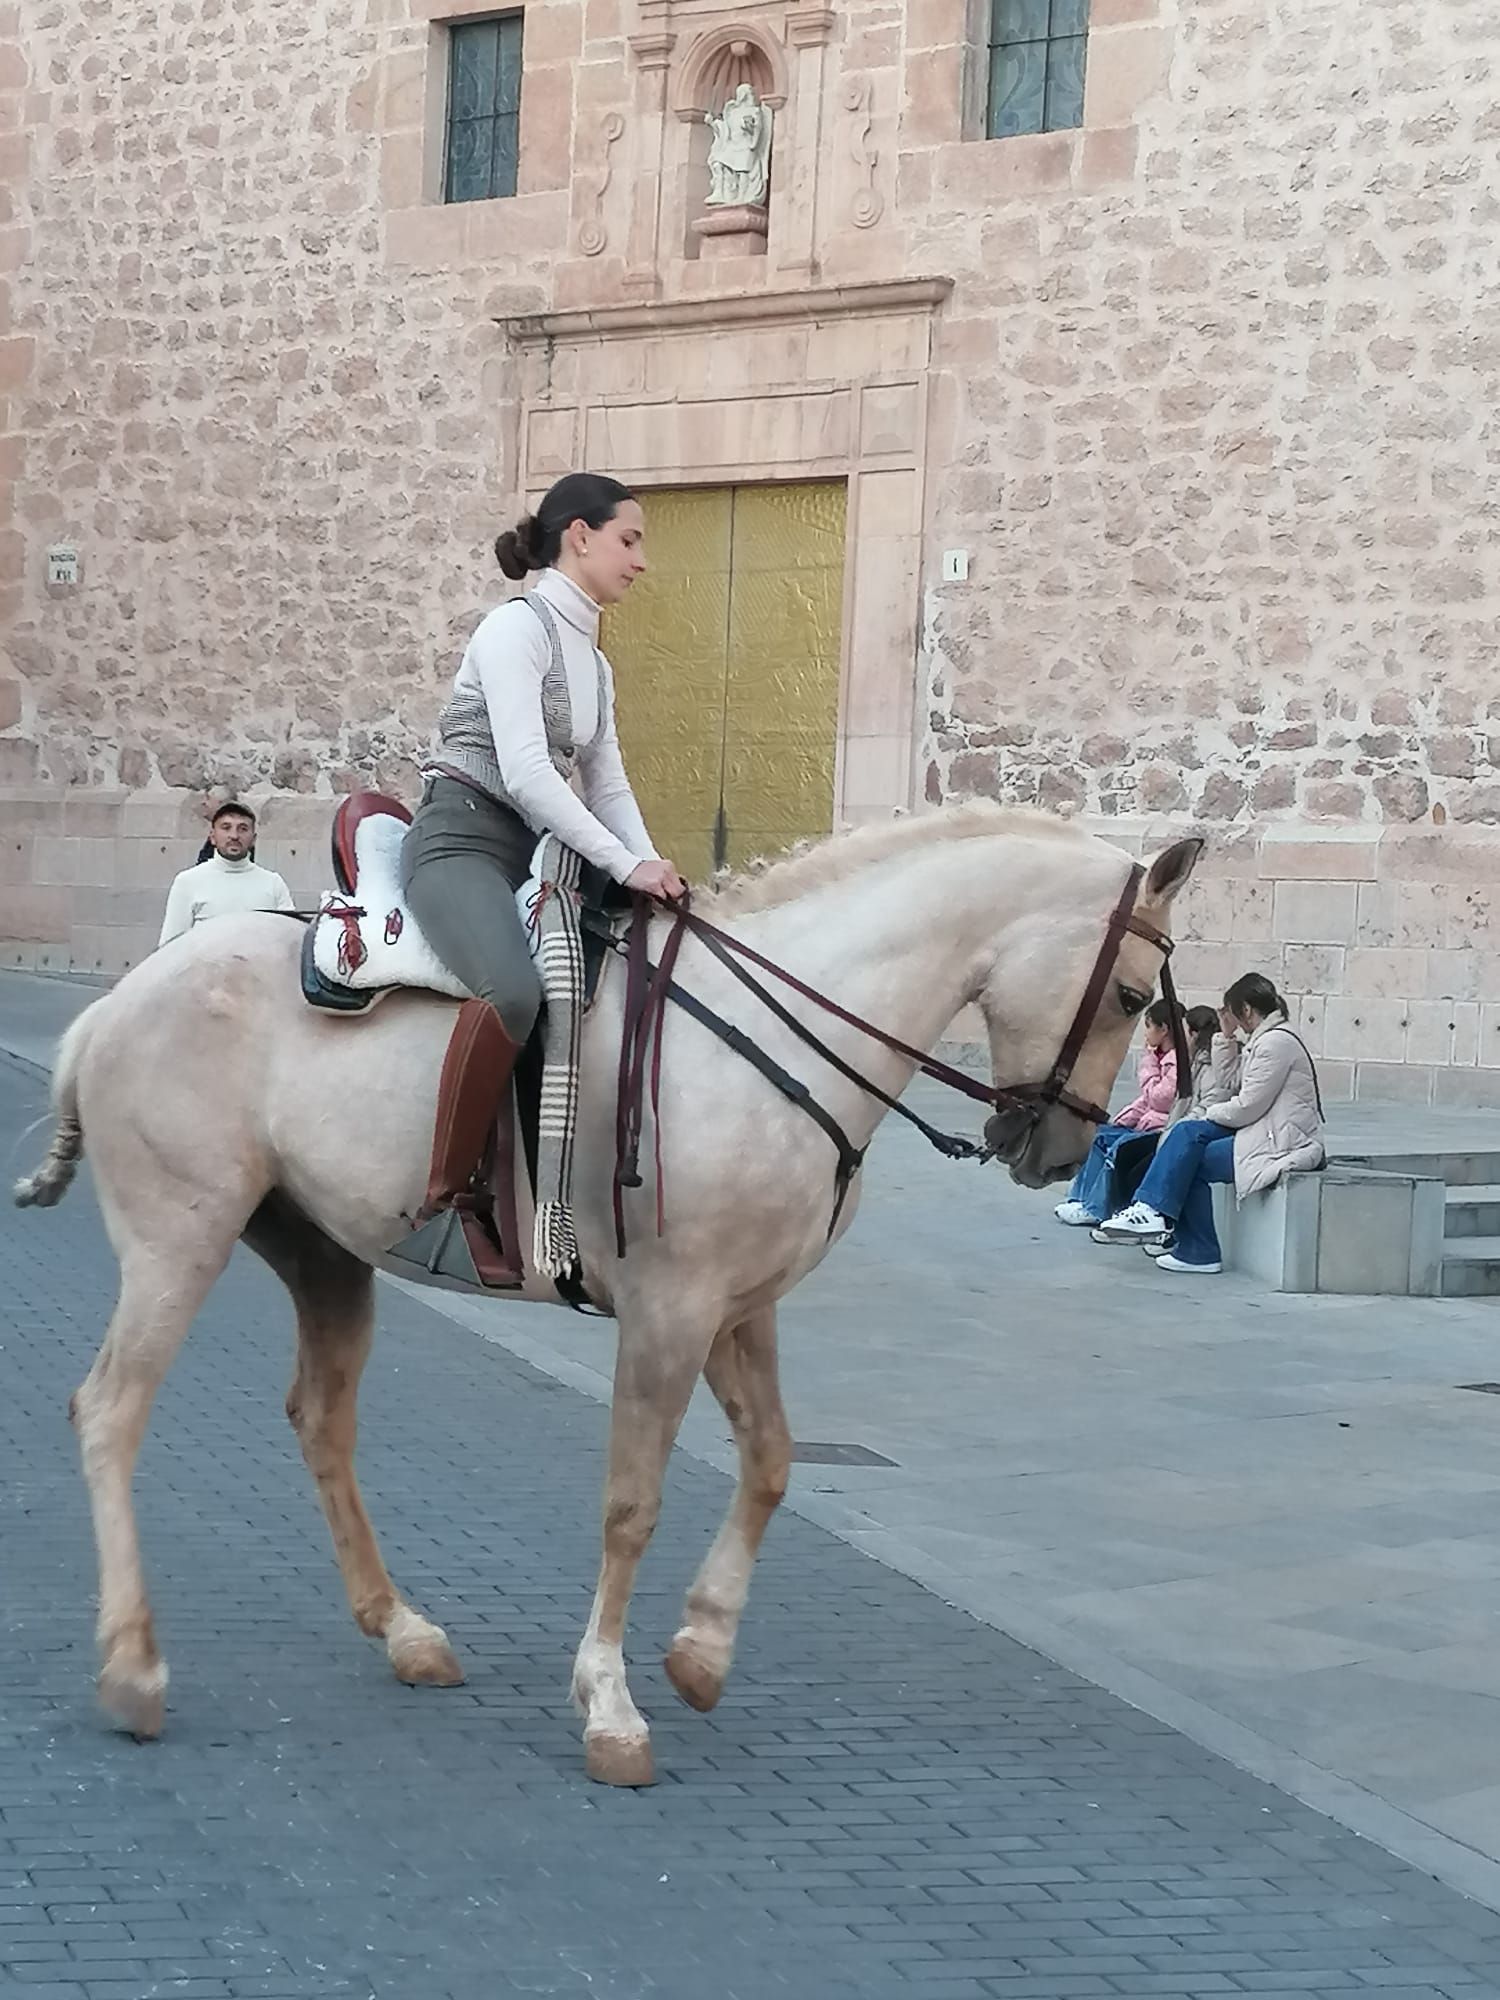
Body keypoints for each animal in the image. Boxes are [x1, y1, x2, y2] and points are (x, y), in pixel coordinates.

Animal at [17, 804, 1208, 1792]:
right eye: (1131, 996)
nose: (1061, 1153)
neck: (774, 1041)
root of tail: (123, 997)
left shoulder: (739, 1308)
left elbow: (772, 1464)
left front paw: (700, 1649)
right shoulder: (671, 1312)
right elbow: (631, 1505)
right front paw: (611, 1704)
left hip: (322, 1252)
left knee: (320, 1418)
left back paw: (401, 1628)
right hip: (179, 1240)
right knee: (110, 1412)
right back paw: (133, 1667)